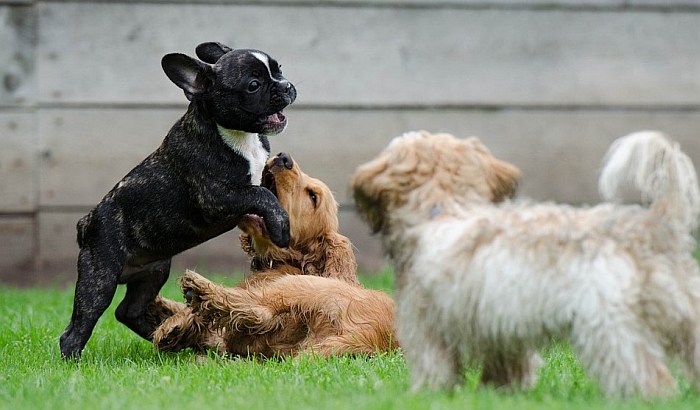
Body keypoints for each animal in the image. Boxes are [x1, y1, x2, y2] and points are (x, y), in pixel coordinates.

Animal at [150, 152, 396, 358]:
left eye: (313, 196)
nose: (283, 157)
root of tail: (369, 337)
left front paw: (173, 323)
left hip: (301, 287)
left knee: (258, 309)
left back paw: (198, 289)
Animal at [350, 131, 700, 398]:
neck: (444, 208)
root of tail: (655, 224)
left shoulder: (426, 328)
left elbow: (435, 368)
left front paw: (428, 396)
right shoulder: (502, 330)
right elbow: (507, 368)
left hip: (610, 329)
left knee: (648, 376)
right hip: (687, 318)